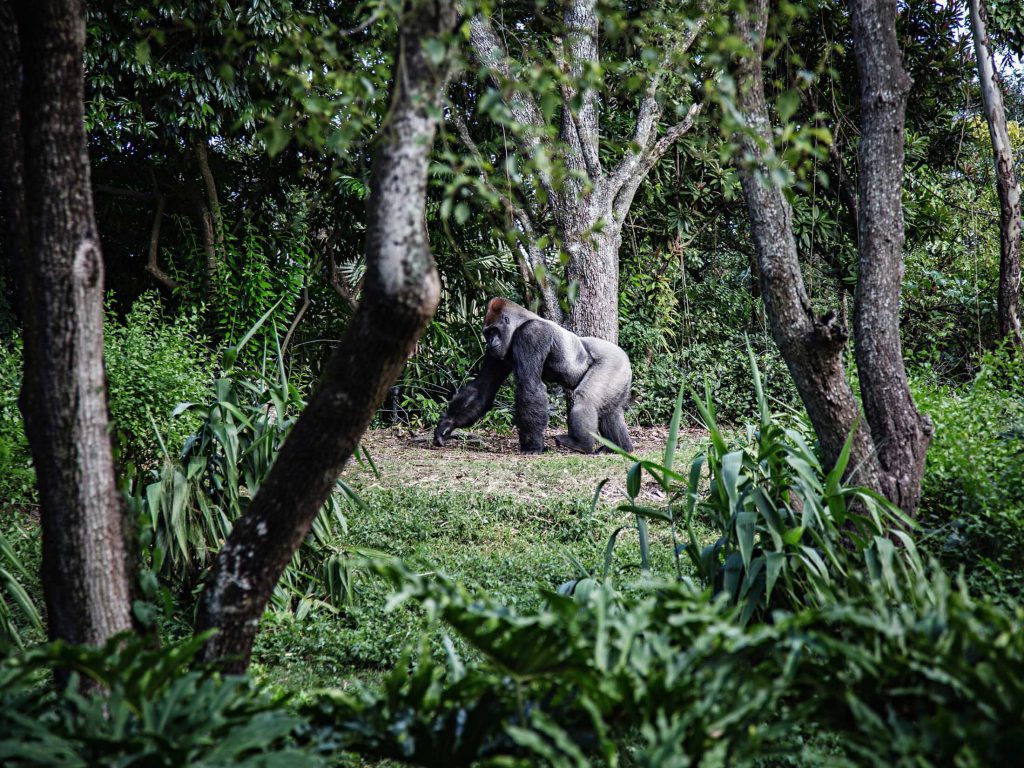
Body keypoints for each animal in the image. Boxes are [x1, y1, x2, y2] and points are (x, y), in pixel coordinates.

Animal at [433, 298, 633, 454]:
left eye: (493, 331)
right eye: (487, 333)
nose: (490, 342)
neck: (520, 322)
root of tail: (625, 357)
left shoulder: (531, 334)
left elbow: (529, 386)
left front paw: (532, 446)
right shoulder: (498, 352)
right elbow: (482, 388)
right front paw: (447, 425)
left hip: (613, 361)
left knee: (586, 398)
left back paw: (581, 444)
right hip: (621, 373)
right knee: (610, 411)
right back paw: (620, 447)